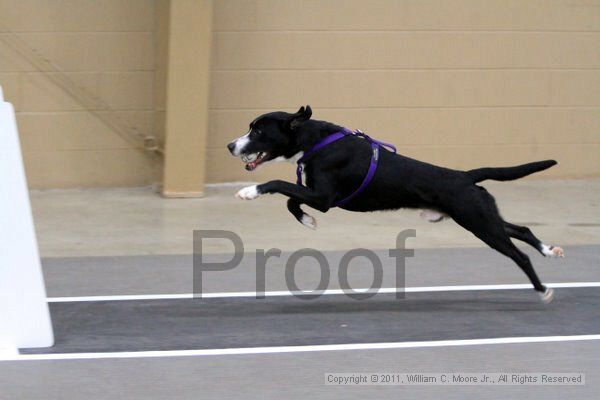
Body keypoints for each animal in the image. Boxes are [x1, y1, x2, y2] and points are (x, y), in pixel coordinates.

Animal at [227, 104, 564, 302]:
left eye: (258, 130)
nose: (230, 145)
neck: (317, 142)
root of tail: (464, 176)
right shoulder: (314, 195)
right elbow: (290, 201)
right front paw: (307, 221)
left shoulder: (323, 198)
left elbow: (278, 186)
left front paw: (250, 191)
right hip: (482, 216)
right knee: (520, 230)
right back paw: (549, 249)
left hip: (479, 222)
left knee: (519, 254)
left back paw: (542, 288)